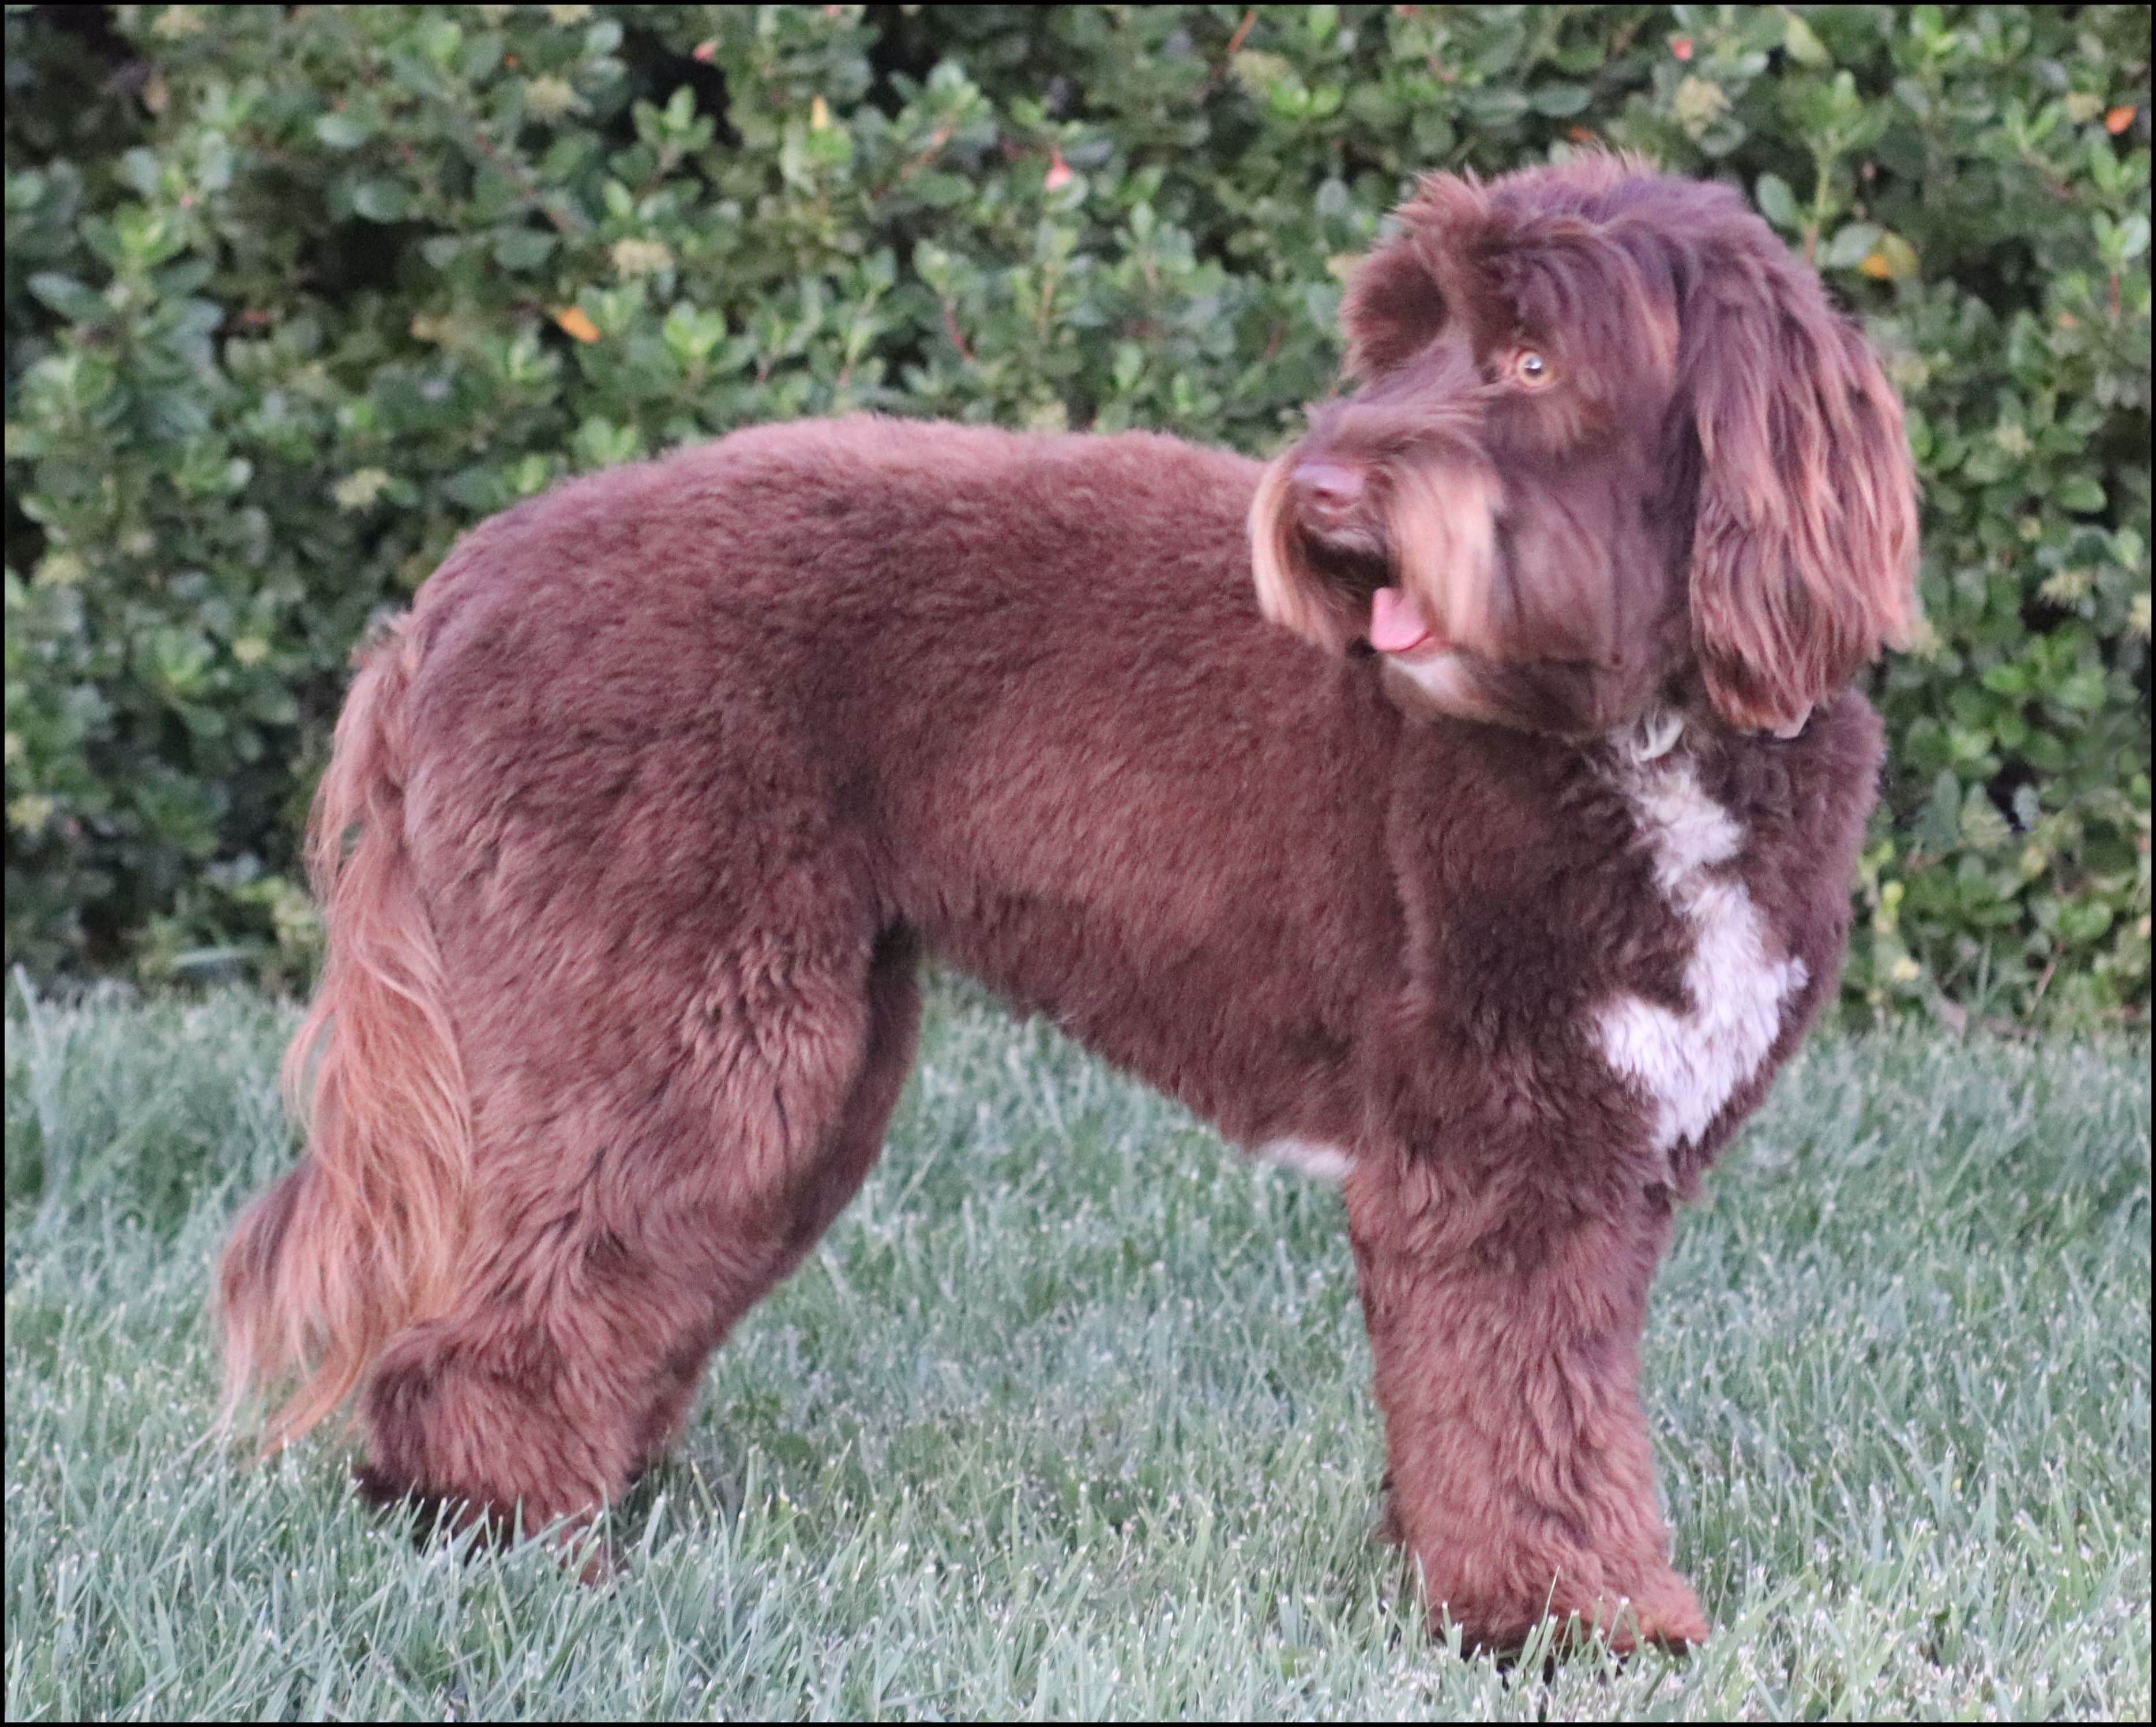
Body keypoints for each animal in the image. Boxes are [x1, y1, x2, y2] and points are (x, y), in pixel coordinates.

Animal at [223, 158, 1923, 1647]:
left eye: (1527, 356)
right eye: (1399, 342)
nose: (1322, 489)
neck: (1639, 728)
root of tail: (446, 598)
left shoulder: (1610, 1154)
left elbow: (1538, 1406)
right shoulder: (1495, 1153)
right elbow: (1525, 1410)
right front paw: (1575, 1625)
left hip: (796, 1047)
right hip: (679, 1018)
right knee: (490, 1328)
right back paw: (511, 1545)